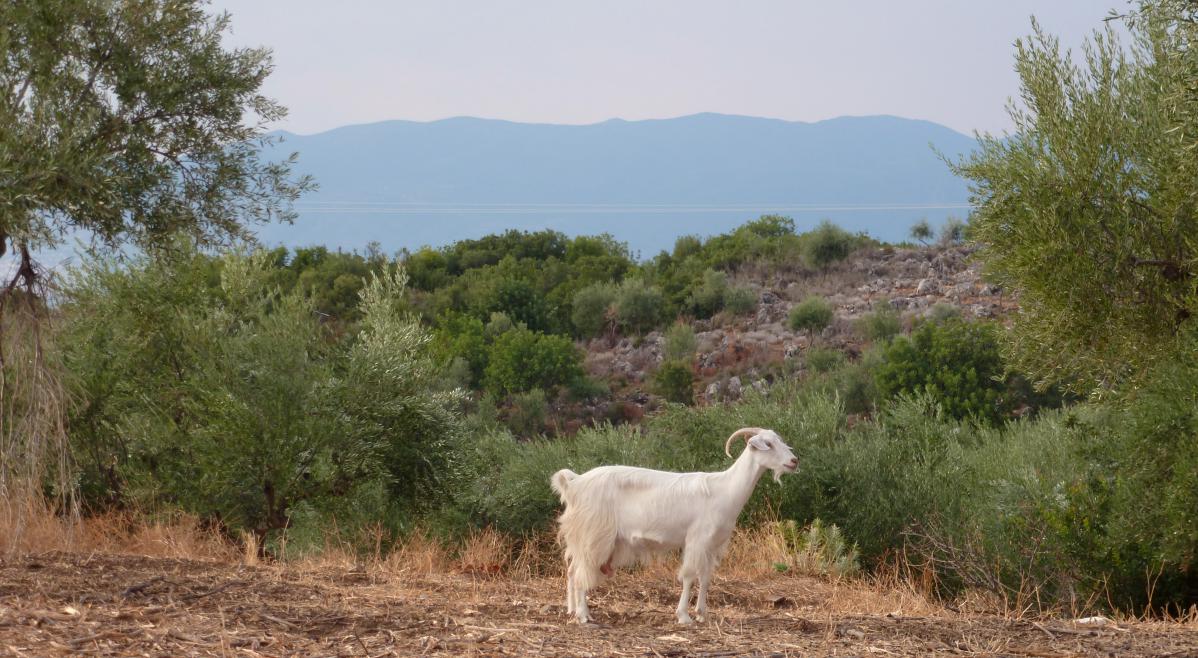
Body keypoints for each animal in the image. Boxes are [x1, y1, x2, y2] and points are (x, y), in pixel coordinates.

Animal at [548, 426, 795, 623]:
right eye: (768, 444)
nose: (794, 461)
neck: (724, 489)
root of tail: (575, 484)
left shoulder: (712, 544)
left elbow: (705, 578)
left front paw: (702, 614)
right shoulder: (696, 539)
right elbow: (689, 576)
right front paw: (684, 616)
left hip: (585, 537)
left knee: (572, 570)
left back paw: (572, 610)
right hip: (594, 535)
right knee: (581, 572)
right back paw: (583, 616)